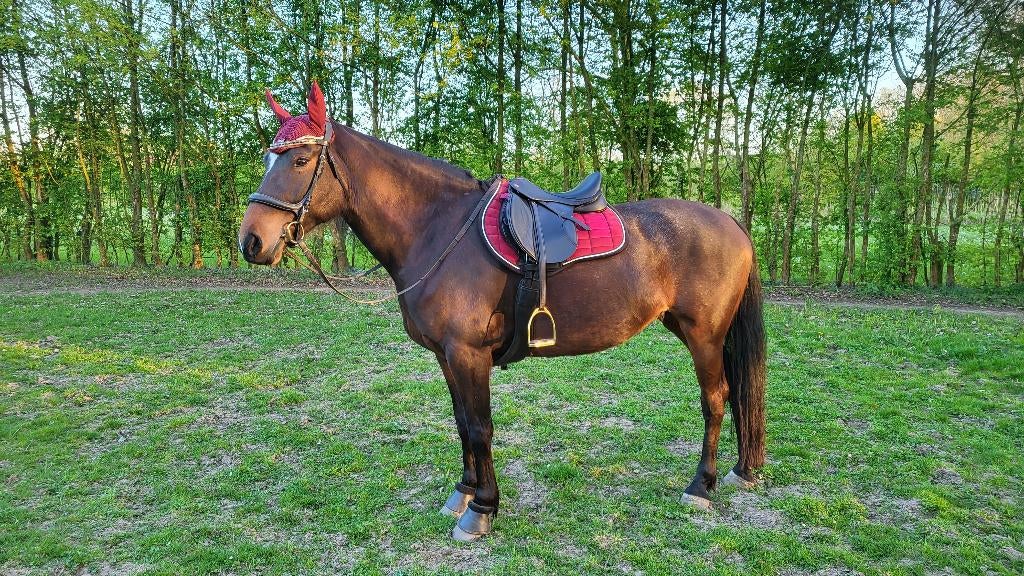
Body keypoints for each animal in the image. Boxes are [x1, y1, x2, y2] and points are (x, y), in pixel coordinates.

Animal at [238, 82, 766, 542]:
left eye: (301, 159)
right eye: (268, 158)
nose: (252, 242)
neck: (438, 228)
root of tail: (731, 223)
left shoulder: (468, 353)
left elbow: (480, 427)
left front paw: (482, 509)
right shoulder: (446, 355)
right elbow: (460, 420)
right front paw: (463, 491)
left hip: (704, 336)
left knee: (716, 399)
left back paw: (701, 486)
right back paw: (740, 470)